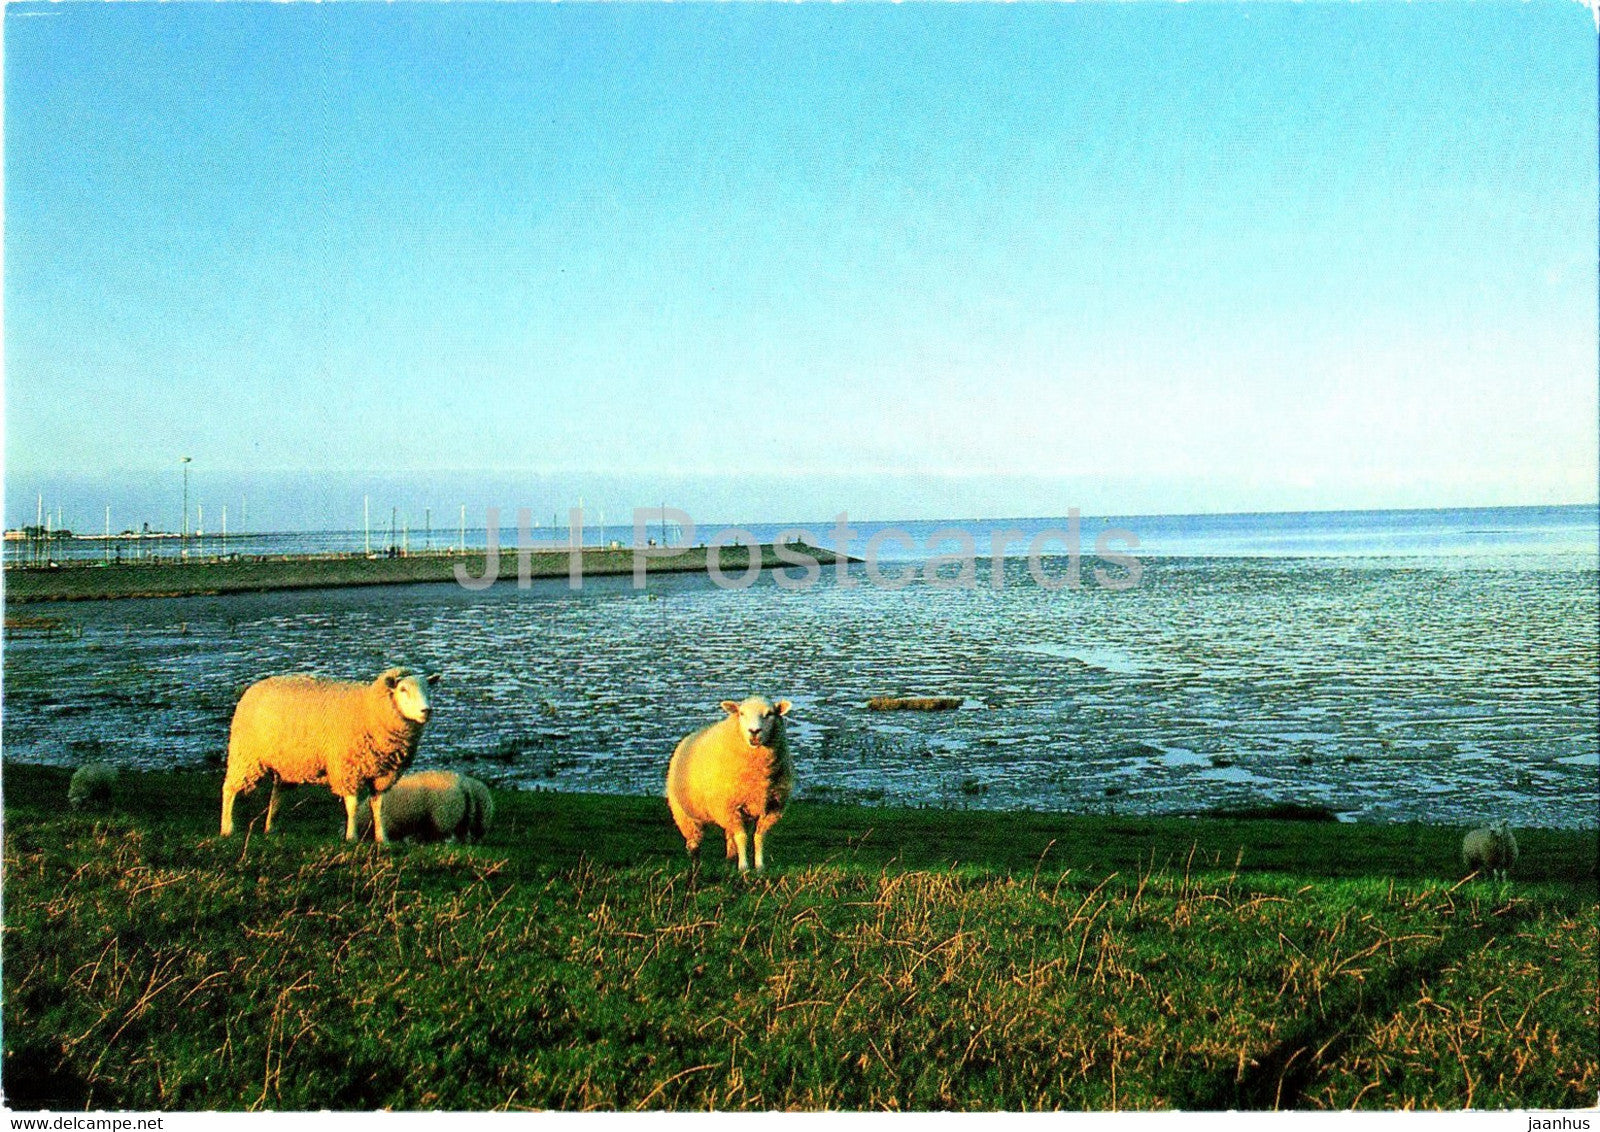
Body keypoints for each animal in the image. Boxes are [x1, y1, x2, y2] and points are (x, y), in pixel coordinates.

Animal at [220, 667, 440, 842]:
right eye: (403, 690)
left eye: (428, 689)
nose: (426, 710)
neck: (369, 709)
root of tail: (251, 689)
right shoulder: (348, 768)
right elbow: (352, 806)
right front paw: (351, 837)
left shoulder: (382, 775)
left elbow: (379, 807)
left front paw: (382, 838)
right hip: (246, 756)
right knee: (229, 789)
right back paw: (227, 828)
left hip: (286, 763)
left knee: (277, 794)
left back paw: (271, 828)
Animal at [665, 696, 793, 872]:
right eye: (741, 713)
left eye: (770, 714)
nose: (754, 731)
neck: (758, 775)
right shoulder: (729, 807)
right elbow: (742, 837)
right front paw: (744, 867)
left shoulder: (772, 808)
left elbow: (759, 837)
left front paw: (759, 866)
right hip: (685, 814)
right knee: (694, 842)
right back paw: (695, 866)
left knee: (730, 837)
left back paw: (730, 860)